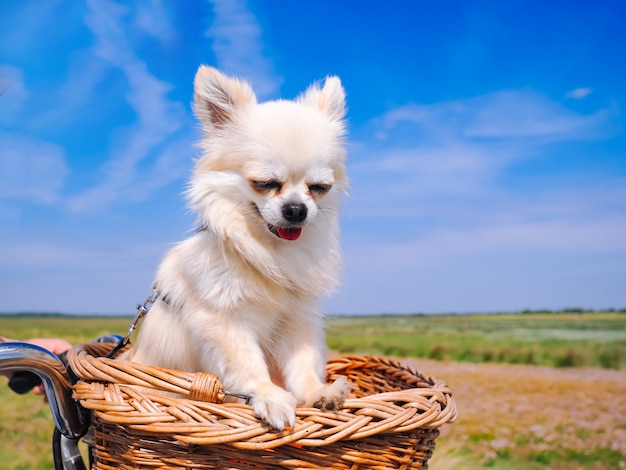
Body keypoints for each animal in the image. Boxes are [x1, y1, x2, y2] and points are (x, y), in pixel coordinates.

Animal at [119, 66, 348, 430]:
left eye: (318, 188)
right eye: (265, 184)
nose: (296, 209)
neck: (268, 252)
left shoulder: (296, 319)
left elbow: (303, 361)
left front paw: (317, 394)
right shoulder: (224, 322)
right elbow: (247, 364)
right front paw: (270, 398)